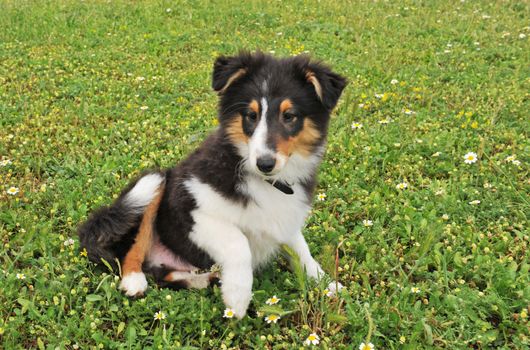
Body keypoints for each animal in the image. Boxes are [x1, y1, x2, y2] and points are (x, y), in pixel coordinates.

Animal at [76, 51, 344, 318]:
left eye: (289, 116)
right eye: (251, 116)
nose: (265, 163)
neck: (266, 181)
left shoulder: (285, 217)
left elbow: (302, 250)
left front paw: (327, 283)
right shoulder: (192, 208)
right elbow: (238, 241)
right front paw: (237, 297)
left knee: (164, 276)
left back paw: (205, 278)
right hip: (153, 181)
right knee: (133, 248)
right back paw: (134, 281)